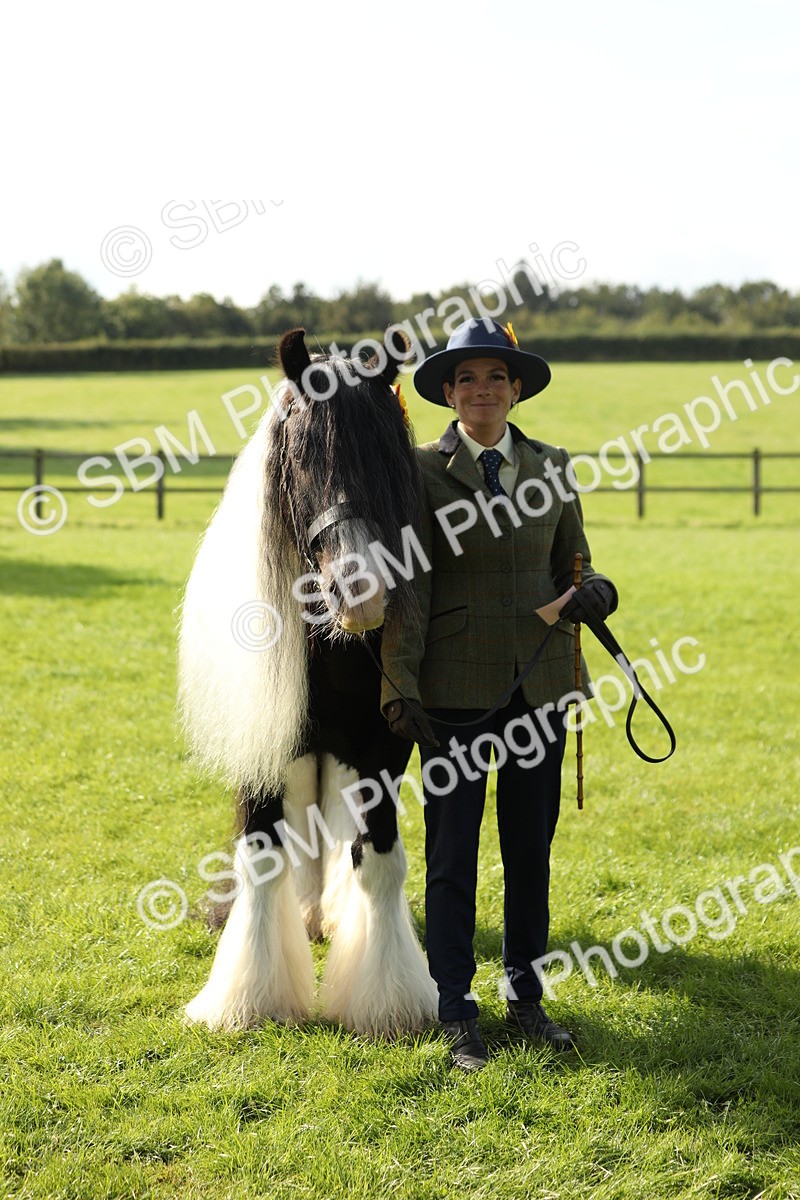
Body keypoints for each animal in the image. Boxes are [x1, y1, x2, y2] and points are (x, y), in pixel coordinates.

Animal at [177, 327, 438, 1037]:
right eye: (299, 454)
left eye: (390, 452)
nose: (363, 589)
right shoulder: (263, 742)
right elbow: (264, 857)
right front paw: (251, 998)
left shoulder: (383, 744)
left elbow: (380, 859)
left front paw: (389, 999)